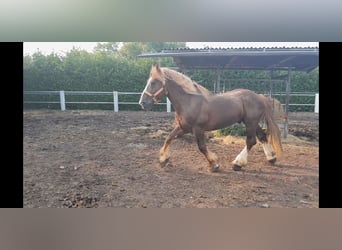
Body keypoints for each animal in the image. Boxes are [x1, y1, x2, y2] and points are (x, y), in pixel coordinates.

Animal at [139, 64, 284, 172]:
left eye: (153, 82)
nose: (142, 103)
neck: (189, 102)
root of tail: (259, 96)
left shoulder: (198, 129)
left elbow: (202, 147)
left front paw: (214, 164)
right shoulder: (183, 128)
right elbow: (168, 138)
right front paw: (163, 159)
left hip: (250, 122)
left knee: (251, 141)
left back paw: (237, 163)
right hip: (251, 122)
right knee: (262, 136)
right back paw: (271, 158)